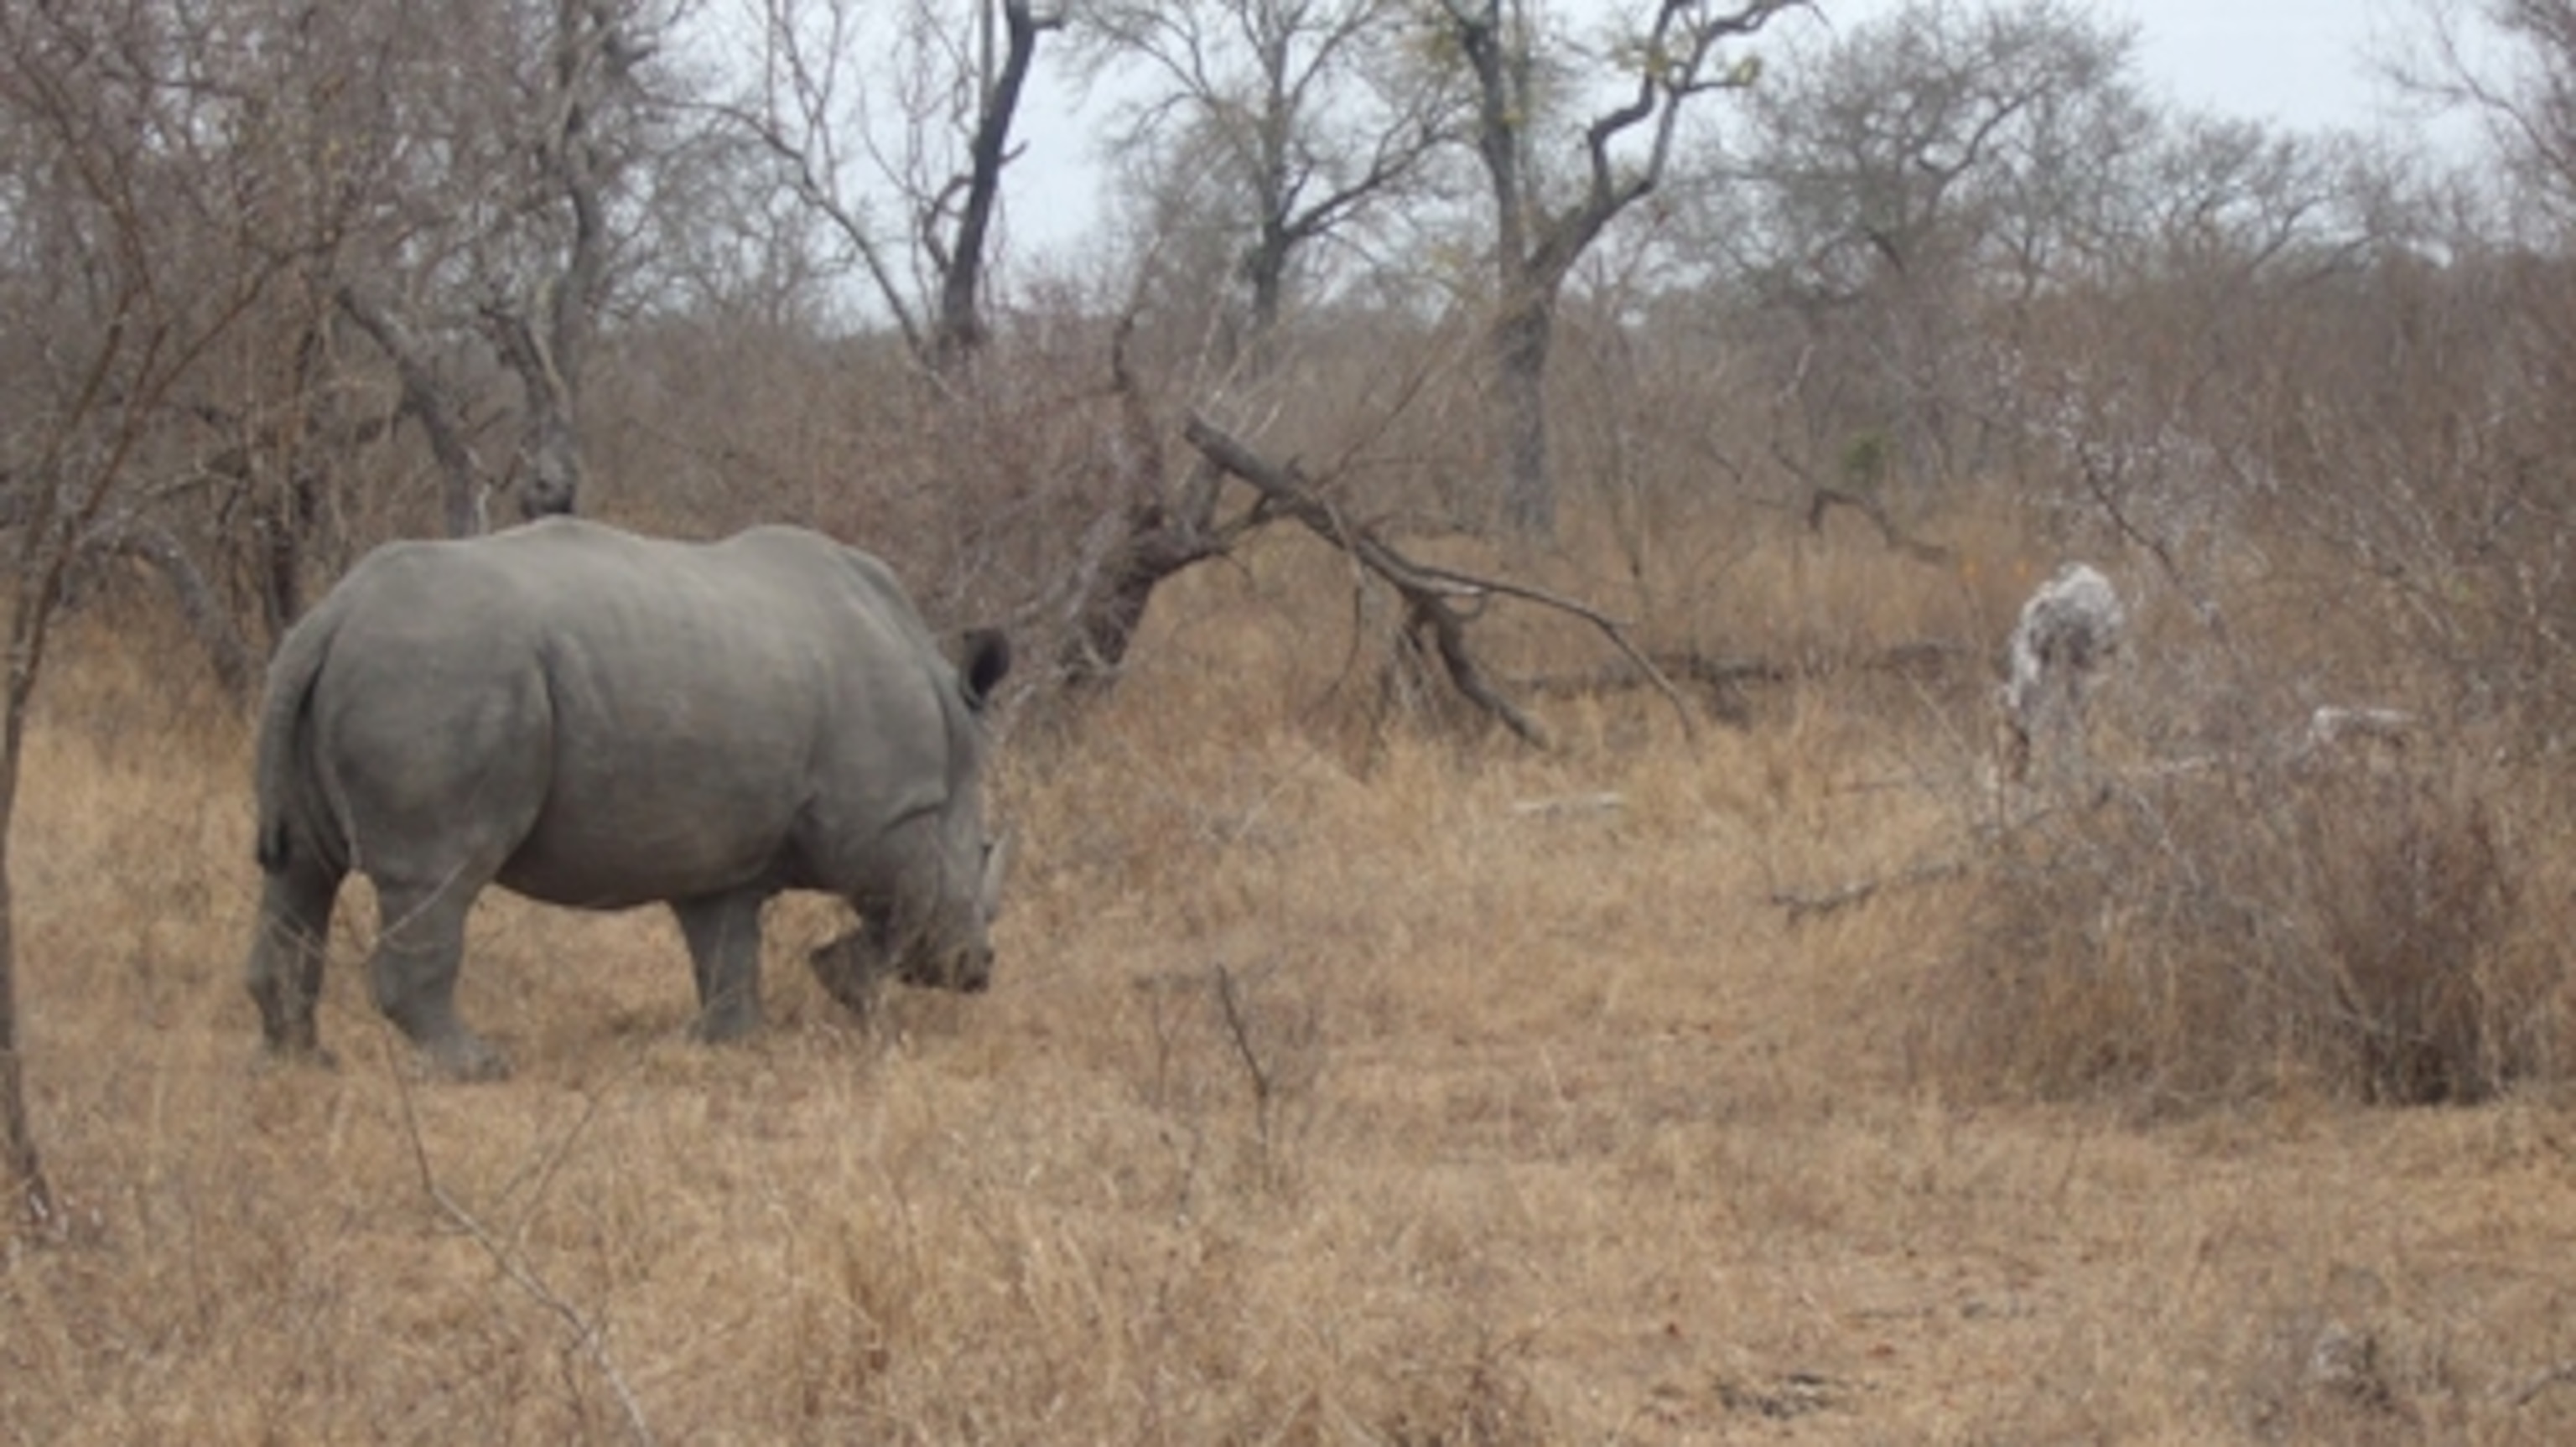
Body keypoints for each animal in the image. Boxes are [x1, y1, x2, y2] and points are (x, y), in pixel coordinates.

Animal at [243, 517, 1012, 1079]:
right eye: (983, 853)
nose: (979, 972)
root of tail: (334, 615)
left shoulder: (719, 850)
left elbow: (725, 948)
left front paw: (728, 1044)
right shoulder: (887, 820)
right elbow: (907, 902)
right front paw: (845, 984)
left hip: (369, 674)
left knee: (300, 871)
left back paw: (303, 1066)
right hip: (441, 676)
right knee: (438, 879)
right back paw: (478, 1068)